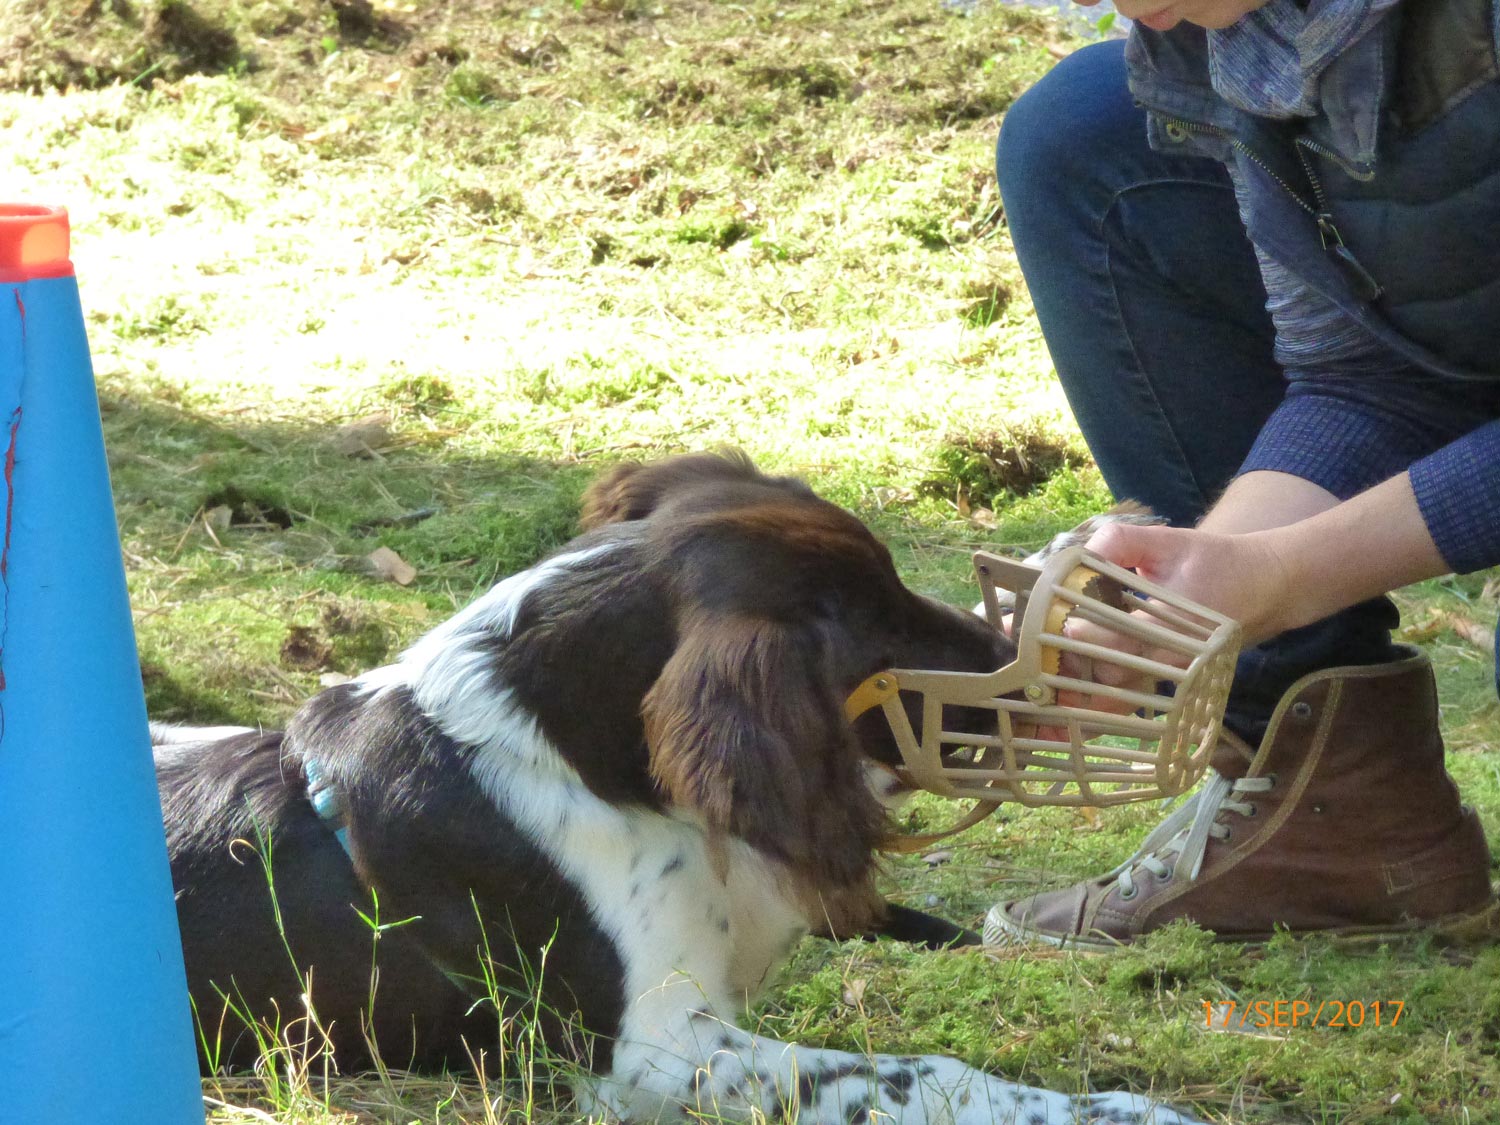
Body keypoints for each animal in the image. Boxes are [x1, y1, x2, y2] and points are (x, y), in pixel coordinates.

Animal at [155, 453, 1206, 1122]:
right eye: (883, 627)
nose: (1018, 664)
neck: (577, 759)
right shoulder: (656, 1049)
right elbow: (923, 1075)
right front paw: (1123, 1109)